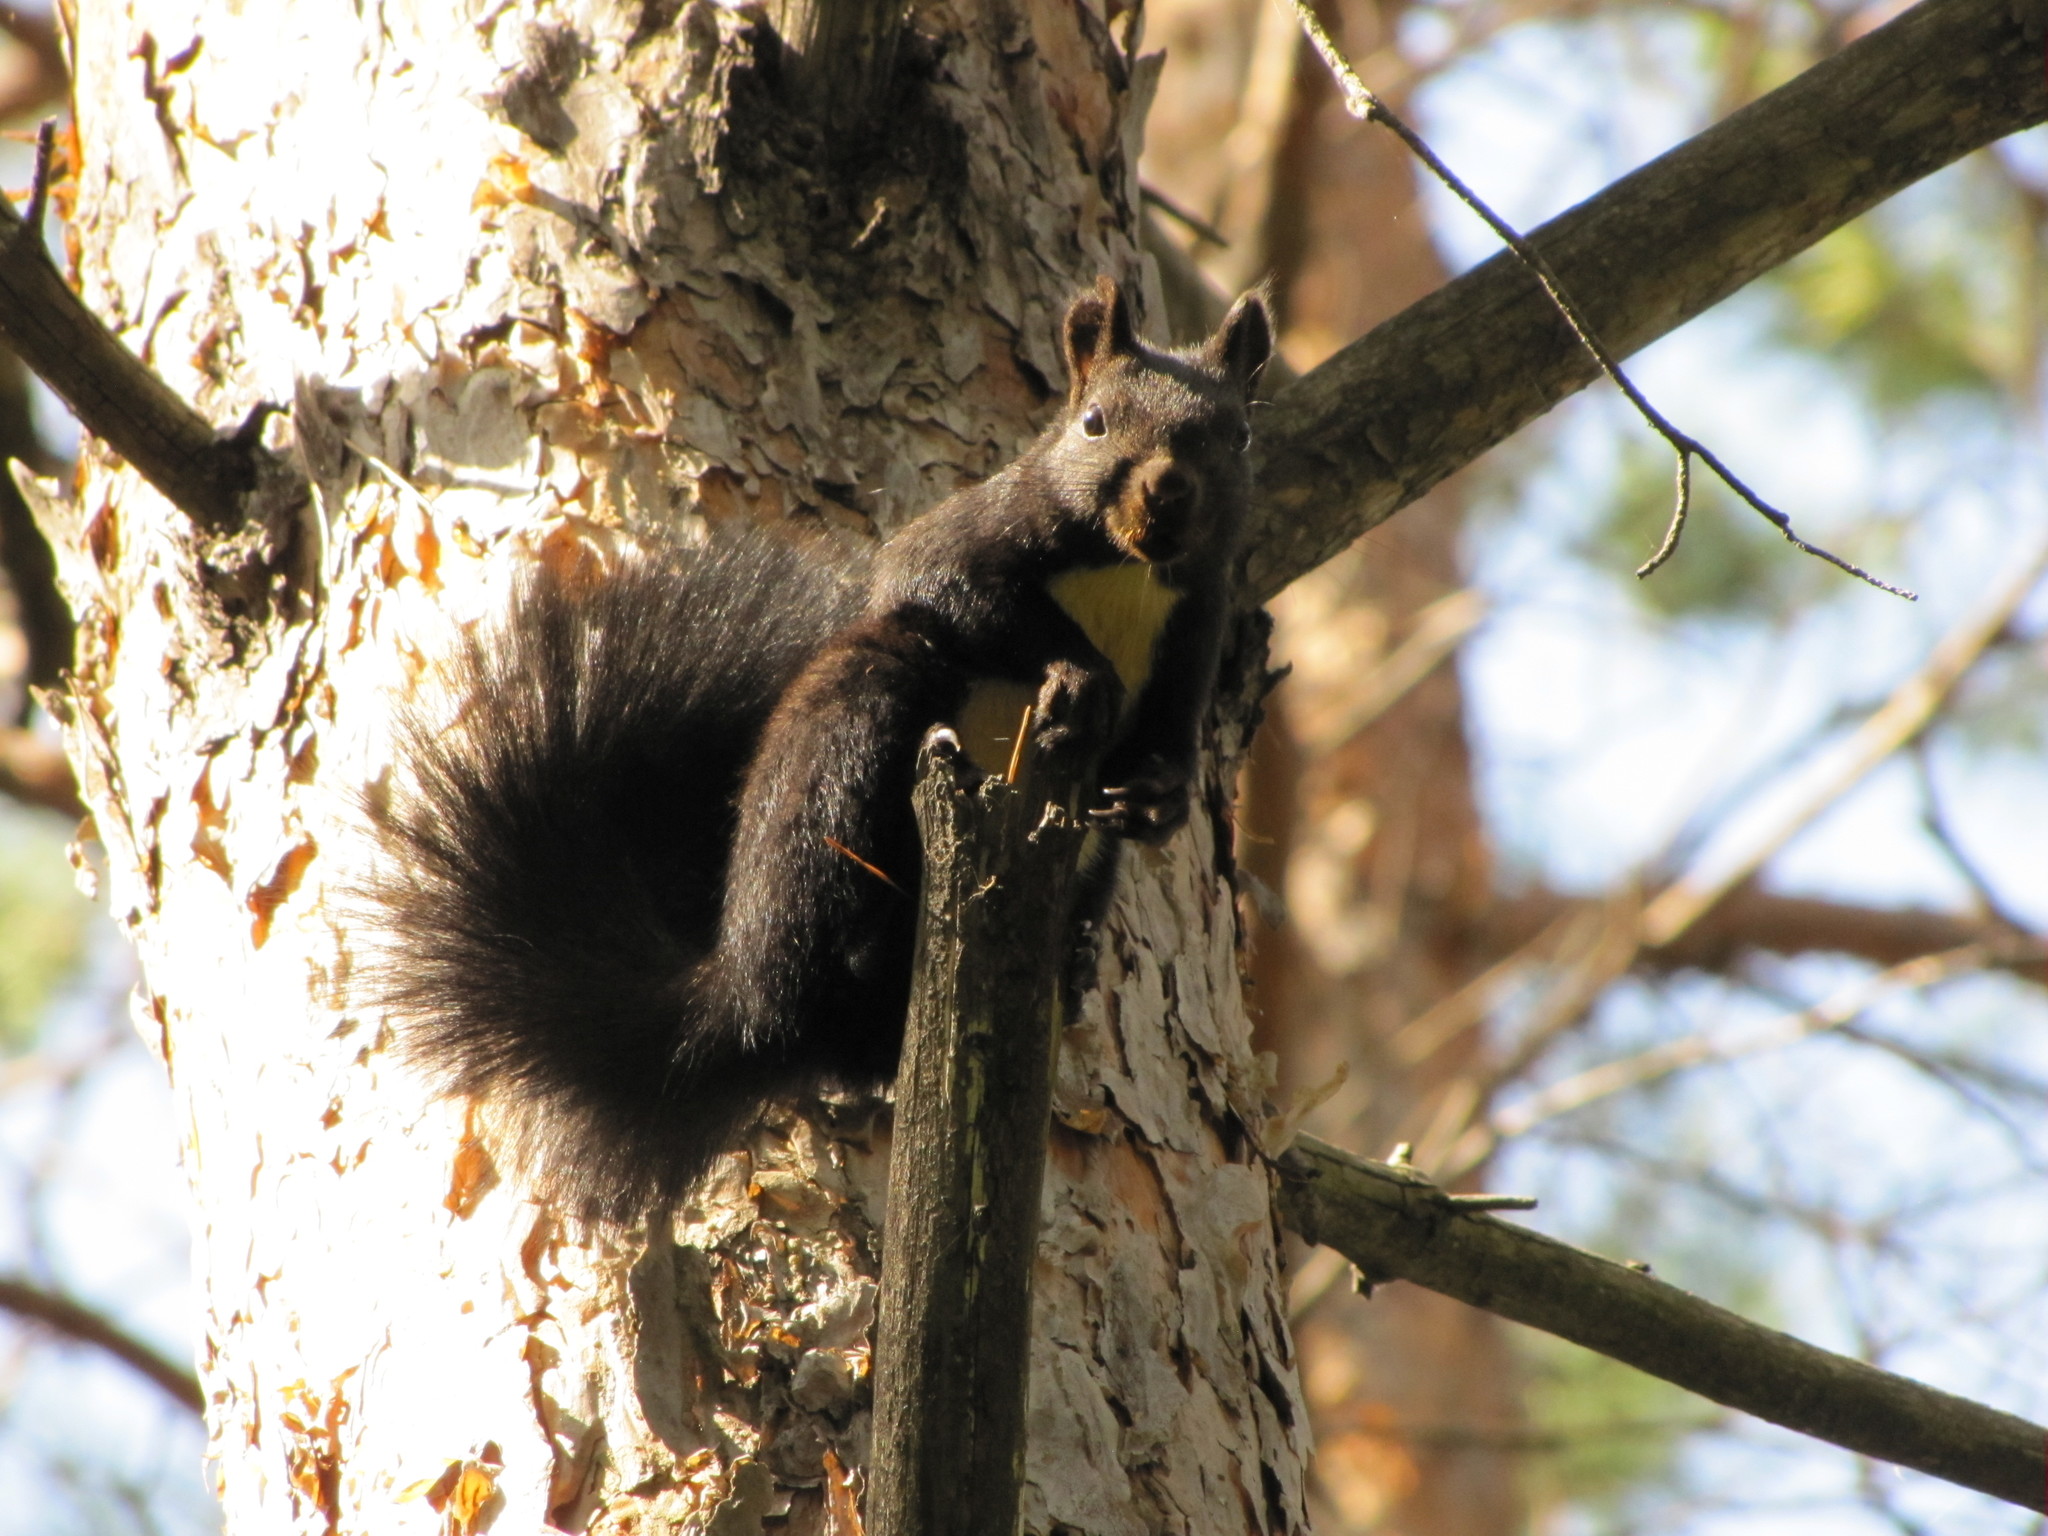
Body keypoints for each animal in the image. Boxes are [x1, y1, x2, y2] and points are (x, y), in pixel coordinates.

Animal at [360, 274, 1269, 1212]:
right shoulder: (973, 533)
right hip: (850, 743)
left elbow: (1166, 741)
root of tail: (736, 1003)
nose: (1167, 492)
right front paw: (1080, 672)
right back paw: (866, 944)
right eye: (1093, 422)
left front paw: (1158, 796)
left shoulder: (1195, 634)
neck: (1126, 574)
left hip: (1075, 868)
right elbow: (948, 582)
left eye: (1239, 434)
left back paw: (1071, 961)